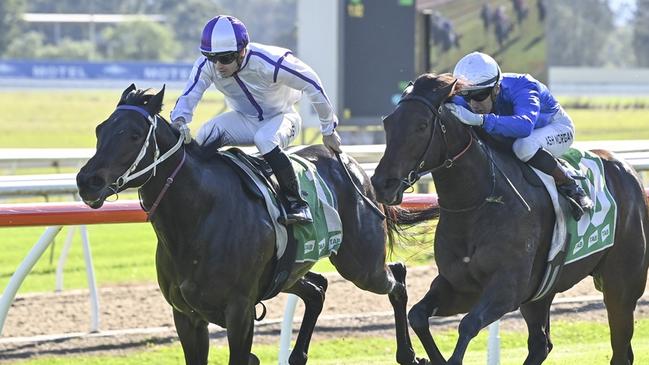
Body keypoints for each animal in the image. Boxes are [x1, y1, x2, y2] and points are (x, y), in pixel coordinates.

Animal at [77, 84, 436, 364]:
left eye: (134, 134)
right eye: (99, 129)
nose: (87, 181)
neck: (197, 219)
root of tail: (353, 165)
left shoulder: (239, 312)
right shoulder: (187, 316)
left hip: (361, 265)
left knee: (397, 278)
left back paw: (408, 354)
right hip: (290, 271)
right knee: (318, 289)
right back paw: (296, 356)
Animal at [370, 72, 648, 364]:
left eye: (422, 125)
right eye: (388, 122)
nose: (382, 184)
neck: (478, 203)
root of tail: (627, 170)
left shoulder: (507, 288)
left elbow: (468, 324)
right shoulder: (460, 286)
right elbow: (418, 315)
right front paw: (423, 357)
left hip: (621, 286)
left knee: (620, 348)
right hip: (541, 293)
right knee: (540, 345)